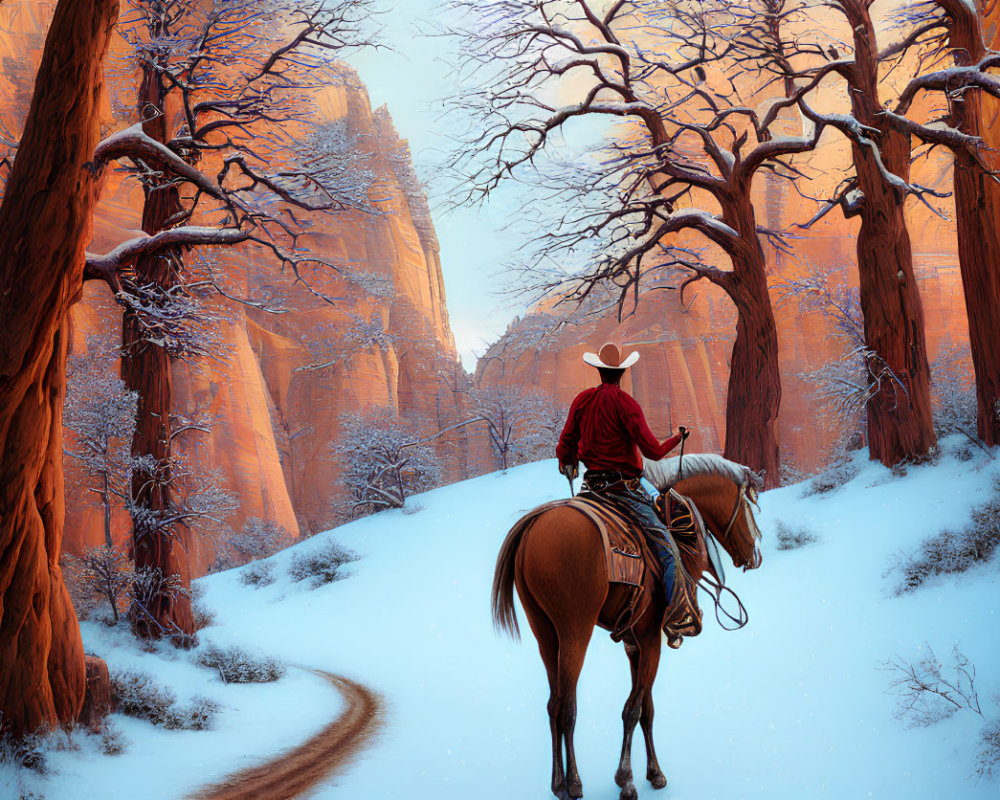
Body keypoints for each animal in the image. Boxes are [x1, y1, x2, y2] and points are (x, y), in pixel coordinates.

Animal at [492, 456, 764, 800]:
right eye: (750, 506)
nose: (756, 555)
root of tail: (532, 527)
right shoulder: (650, 638)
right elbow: (632, 709)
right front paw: (626, 779)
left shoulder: (635, 642)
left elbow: (646, 707)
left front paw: (654, 773)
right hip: (574, 631)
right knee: (568, 706)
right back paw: (573, 783)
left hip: (544, 633)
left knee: (553, 703)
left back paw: (557, 783)